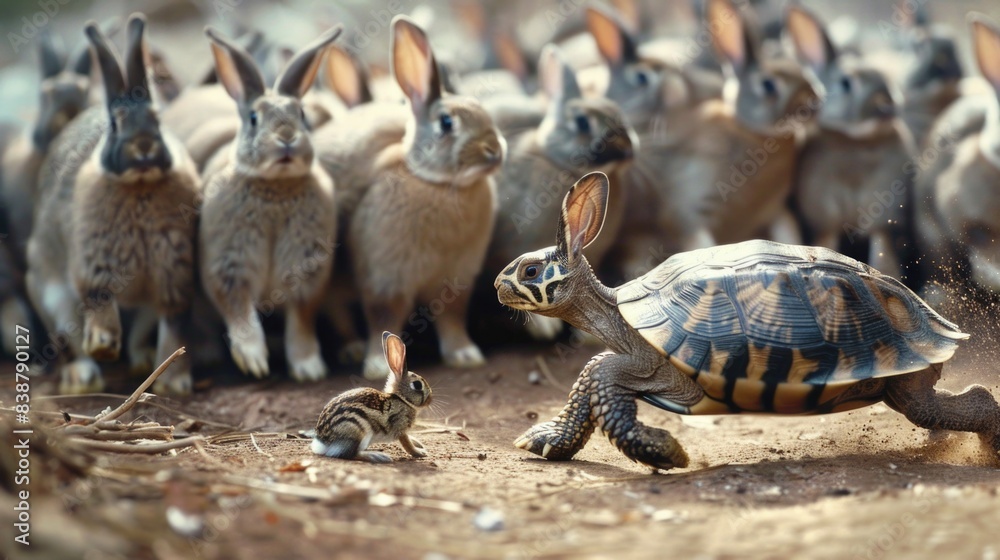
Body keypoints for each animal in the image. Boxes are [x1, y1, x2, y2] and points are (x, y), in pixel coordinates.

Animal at [27, 14, 201, 395]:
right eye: (115, 122)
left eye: (158, 120)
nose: (144, 147)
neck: (138, 187)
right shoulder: (97, 261)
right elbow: (100, 298)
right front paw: (104, 345)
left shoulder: (172, 272)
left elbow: (175, 321)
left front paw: (176, 385)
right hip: (53, 294)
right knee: (67, 338)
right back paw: (83, 377)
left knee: (142, 332)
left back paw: (146, 366)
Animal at [198, 25, 342, 383]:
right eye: (253, 118)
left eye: (301, 114)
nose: (287, 137)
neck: (276, 187)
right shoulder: (229, 266)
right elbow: (239, 312)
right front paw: (253, 362)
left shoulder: (306, 272)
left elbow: (301, 319)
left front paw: (309, 368)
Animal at [311, 331, 432, 463]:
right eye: (417, 385)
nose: (430, 399)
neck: (401, 399)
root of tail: (322, 443)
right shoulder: (400, 426)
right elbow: (406, 444)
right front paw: (420, 452)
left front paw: (419, 443)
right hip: (356, 430)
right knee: (348, 454)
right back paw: (377, 456)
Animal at [331, 16, 505, 379]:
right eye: (447, 123)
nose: (494, 151)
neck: (437, 184)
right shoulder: (384, 279)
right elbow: (383, 317)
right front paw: (374, 366)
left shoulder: (455, 281)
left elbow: (452, 318)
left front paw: (465, 355)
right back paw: (351, 348)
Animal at [788, 5, 917, 281]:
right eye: (846, 83)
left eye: (884, 77)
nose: (887, 105)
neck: (856, 139)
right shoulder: (826, 214)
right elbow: (826, 242)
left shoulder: (883, 216)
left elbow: (881, 246)